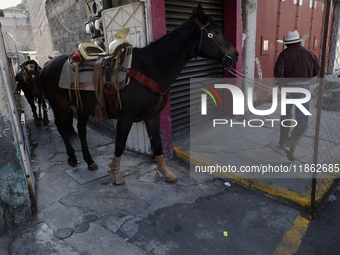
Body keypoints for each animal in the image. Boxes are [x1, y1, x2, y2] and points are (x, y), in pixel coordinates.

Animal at [39, 3, 238, 185]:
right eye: (217, 31)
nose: (235, 55)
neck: (150, 68)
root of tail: (46, 65)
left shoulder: (152, 116)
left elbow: (157, 144)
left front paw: (166, 173)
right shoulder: (125, 117)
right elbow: (119, 145)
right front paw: (116, 175)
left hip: (81, 107)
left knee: (81, 130)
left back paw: (89, 161)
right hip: (60, 106)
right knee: (61, 128)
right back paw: (72, 157)